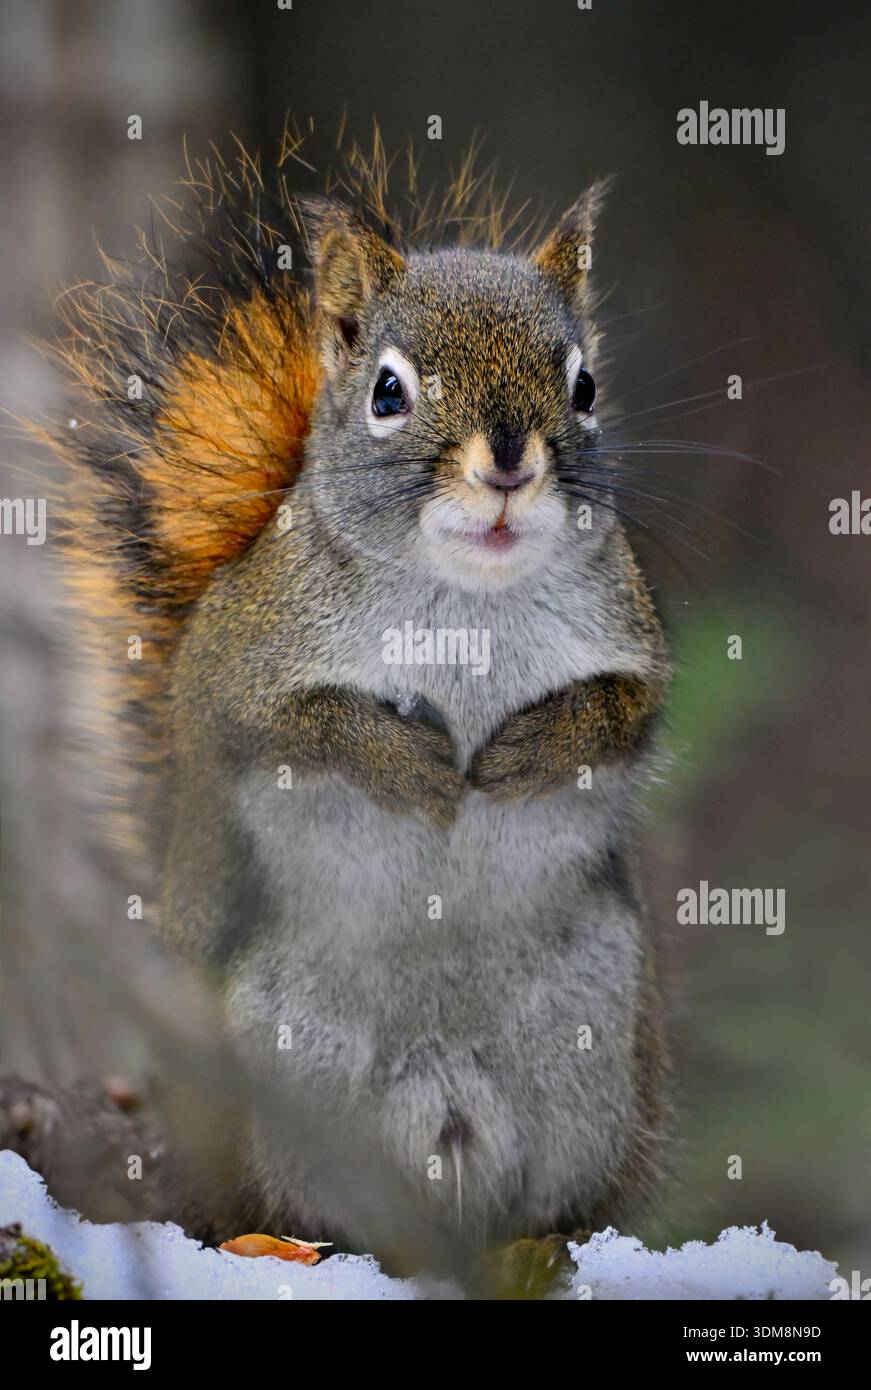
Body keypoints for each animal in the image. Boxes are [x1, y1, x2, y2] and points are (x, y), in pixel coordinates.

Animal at [48, 134, 671, 1279]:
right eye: (389, 391)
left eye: (585, 384)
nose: (507, 461)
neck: (464, 604)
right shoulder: (236, 665)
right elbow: (290, 726)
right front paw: (405, 762)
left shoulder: (630, 637)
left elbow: (622, 711)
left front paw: (529, 750)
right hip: (282, 1062)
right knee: (297, 1207)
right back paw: (289, 1241)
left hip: (593, 1044)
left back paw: (548, 1242)